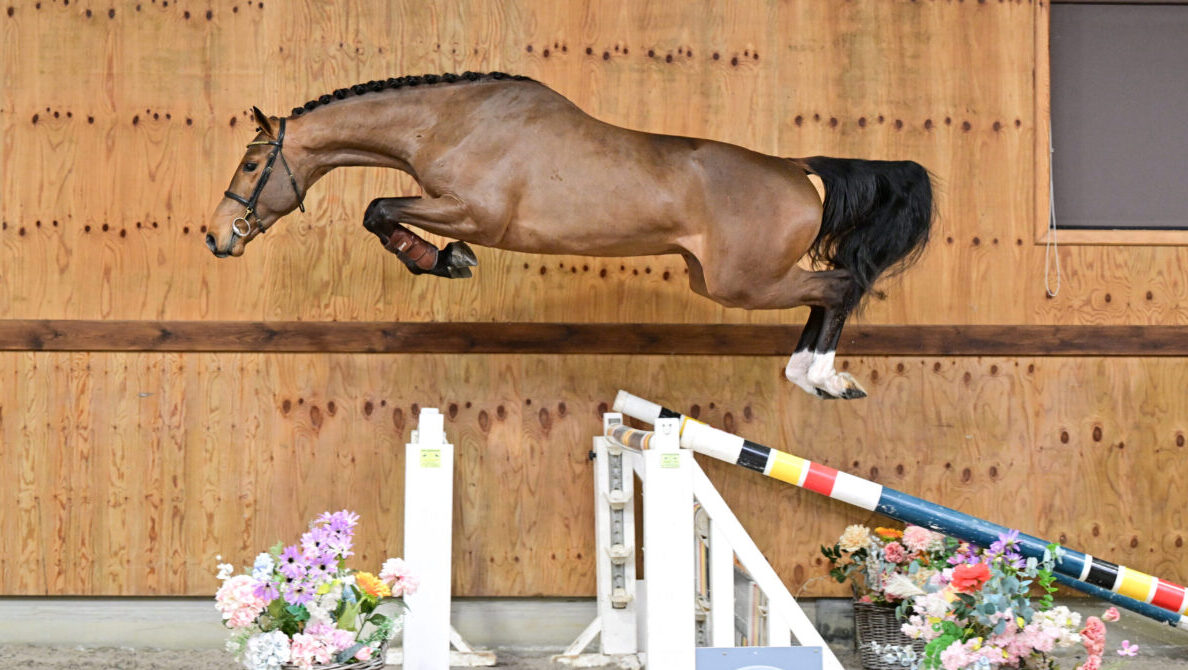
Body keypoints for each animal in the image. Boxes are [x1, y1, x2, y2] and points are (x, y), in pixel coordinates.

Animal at [209, 72, 934, 400]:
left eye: (249, 164)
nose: (218, 238)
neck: (450, 121)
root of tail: (795, 168)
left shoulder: (474, 213)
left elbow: (379, 209)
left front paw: (445, 260)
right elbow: (381, 211)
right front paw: (443, 260)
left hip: (744, 284)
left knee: (838, 286)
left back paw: (823, 378)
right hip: (723, 281)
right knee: (828, 292)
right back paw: (807, 373)